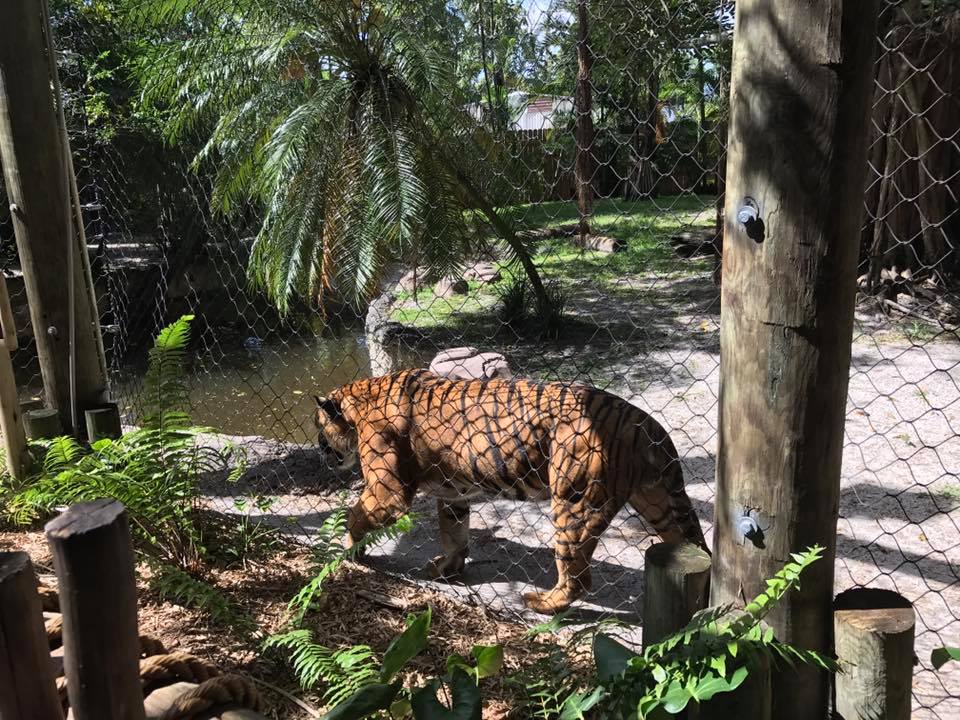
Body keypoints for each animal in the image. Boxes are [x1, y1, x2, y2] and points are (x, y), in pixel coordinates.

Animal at [313, 368, 706, 614]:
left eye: (319, 429)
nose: (320, 450)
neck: (358, 401)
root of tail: (644, 423)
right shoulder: (453, 492)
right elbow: (453, 532)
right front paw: (447, 568)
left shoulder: (388, 490)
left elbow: (355, 514)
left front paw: (347, 550)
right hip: (660, 501)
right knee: (694, 544)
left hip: (574, 503)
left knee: (578, 577)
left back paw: (540, 603)